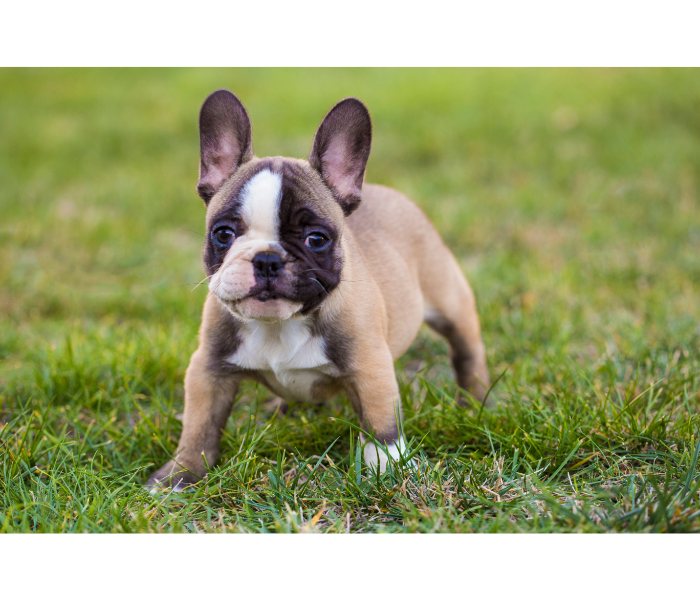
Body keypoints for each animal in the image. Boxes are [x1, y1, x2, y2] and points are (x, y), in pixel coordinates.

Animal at [148, 90, 486, 492]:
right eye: (223, 233)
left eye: (316, 239)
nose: (267, 259)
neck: (279, 324)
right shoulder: (208, 368)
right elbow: (199, 426)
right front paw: (178, 476)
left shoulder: (370, 366)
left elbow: (380, 424)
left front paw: (387, 469)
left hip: (451, 301)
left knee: (466, 352)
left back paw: (475, 401)